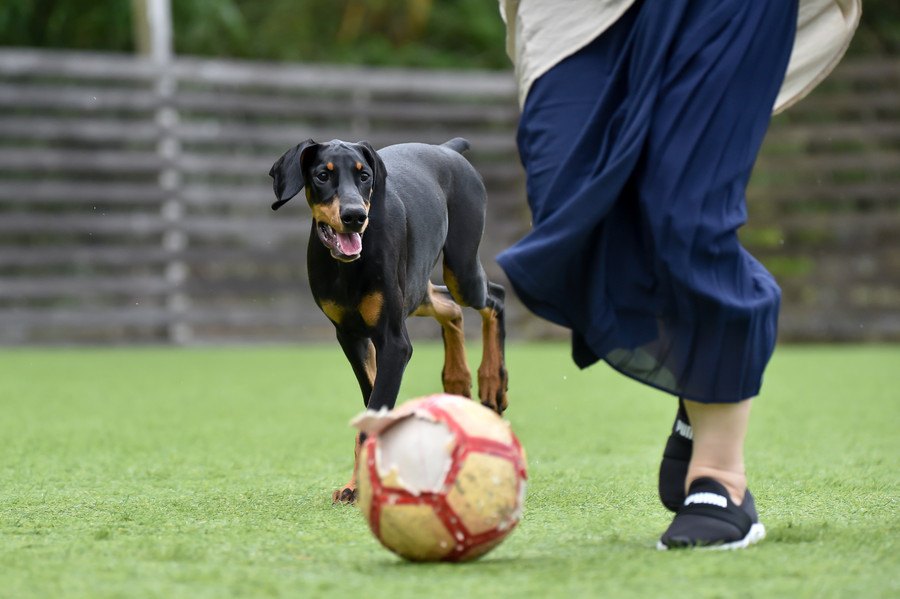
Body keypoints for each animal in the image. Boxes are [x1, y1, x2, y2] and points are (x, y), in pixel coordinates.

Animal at [268, 138, 506, 504]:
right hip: (417, 287)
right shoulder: (350, 336)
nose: (354, 216)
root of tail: (448, 148)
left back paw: (492, 382)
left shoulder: (394, 342)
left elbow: (377, 404)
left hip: (461, 268)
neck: (347, 266)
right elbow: (371, 405)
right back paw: (456, 379)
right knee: (450, 308)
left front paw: (359, 486)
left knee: (494, 297)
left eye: (364, 175)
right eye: (323, 175)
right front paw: (357, 482)